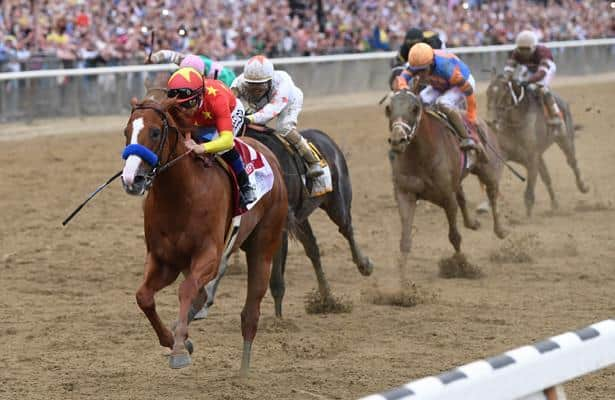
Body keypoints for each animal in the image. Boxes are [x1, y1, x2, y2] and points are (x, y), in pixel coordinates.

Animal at [122, 96, 292, 372]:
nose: (131, 179)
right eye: (126, 132)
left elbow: (186, 290)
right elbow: (144, 297)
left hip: (264, 244)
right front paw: (176, 340)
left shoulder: (208, 255)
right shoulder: (163, 259)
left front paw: (180, 350)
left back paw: (244, 371)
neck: (181, 194)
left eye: (155, 132)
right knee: (202, 296)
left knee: (250, 312)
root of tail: (270, 157)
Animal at [388, 89, 508, 268]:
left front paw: (460, 264)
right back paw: (472, 223)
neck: (421, 156)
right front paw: (402, 273)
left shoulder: (447, 198)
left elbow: (454, 237)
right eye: (388, 109)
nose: (398, 140)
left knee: (492, 195)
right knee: (463, 196)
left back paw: (500, 230)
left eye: (415, 108)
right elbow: (405, 241)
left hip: (488, 170)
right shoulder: (405, 193)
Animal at [486, 72, 592, 216]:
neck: (516, 124)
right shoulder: (506, 154)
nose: (490, 121)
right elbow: (493, 179)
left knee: (572, 162)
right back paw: (554, 204)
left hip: (565, 139)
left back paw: (583, 187)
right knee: (547, 177)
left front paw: (527, 217)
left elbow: (529, 193)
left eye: (503, 94)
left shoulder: (532, 158)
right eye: (488, 92)